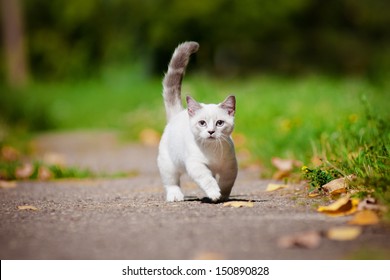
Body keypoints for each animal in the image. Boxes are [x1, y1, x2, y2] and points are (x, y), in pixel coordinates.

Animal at [158, 41, 238, 201]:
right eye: (202, 123)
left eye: (219, 123)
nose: (211, 131)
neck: (213, 152)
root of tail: (178, 113)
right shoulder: (195, 164)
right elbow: (207, 179)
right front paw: (214, 193)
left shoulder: (231, 166)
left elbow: (227, 182)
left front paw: (222, 195)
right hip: (168, 164)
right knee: (171, 182)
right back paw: (175, 195)